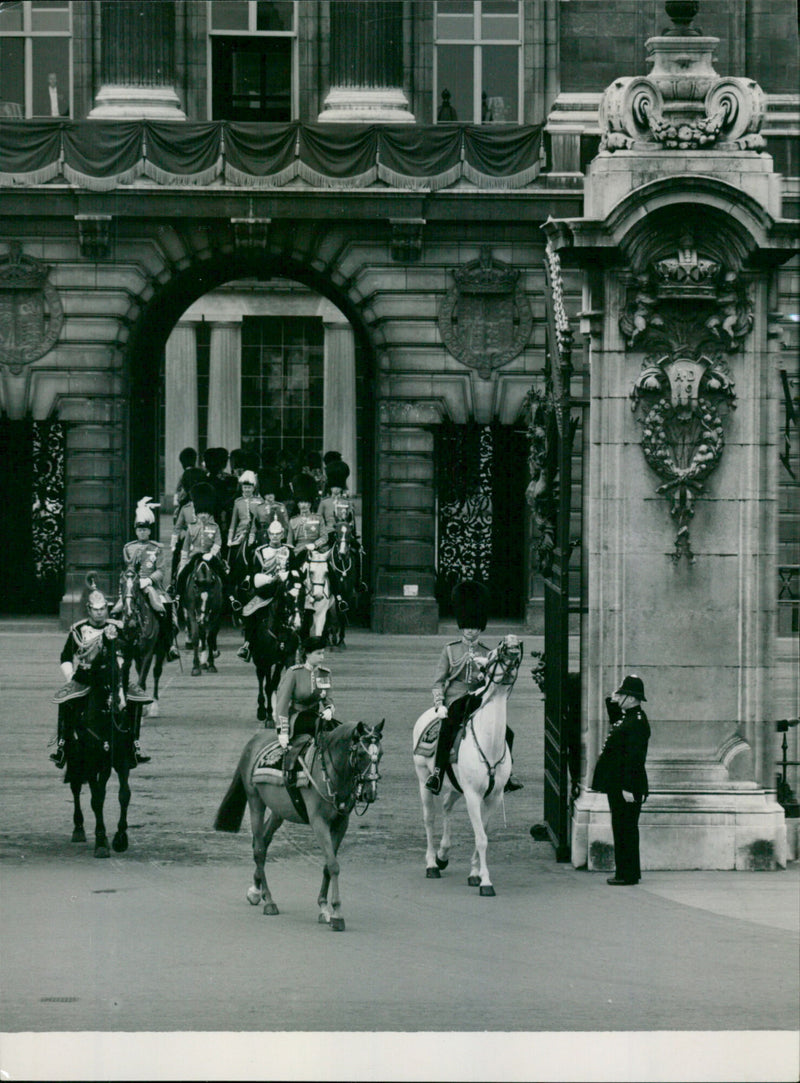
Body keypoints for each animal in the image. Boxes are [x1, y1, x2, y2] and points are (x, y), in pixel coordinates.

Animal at [60, 632, 138, 853]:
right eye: (106, 666)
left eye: (128, 665)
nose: (120, 704)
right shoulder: (91, 761)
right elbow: (97, 799)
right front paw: (102, 841)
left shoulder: (119, 759)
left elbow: (123, 794)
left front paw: (120, 837)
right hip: (75, 759)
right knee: (76, 788)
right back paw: (78, 828)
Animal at [117, 567, 173, 719]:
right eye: (121, 583)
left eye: (137, 584)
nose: (129, 612)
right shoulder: (127, 654)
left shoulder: (148, 653)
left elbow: (141, 682)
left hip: (159, 651)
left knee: (156, 672)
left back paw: (153, 705)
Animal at [215, 719, 385, 931]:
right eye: (361, 754)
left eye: (381, 753)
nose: (370, 792)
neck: (329, 772)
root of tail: (254, 741)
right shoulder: (319, 823)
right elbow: (333, 865)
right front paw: (337, 913)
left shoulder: (340, 824)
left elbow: (327, 865)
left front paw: (324, 907)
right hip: (256, 802)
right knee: (259, 849)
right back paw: (269, 900)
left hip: (279, 811)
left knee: (263, 840)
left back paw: (256, 890)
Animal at [413, 632, 526, 896]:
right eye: (495, 653)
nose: (513, 642)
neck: (489, 741)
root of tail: (428, 714)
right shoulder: (473, 795)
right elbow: (481, 837)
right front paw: (486, 882)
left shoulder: (493, 796)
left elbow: (483, 833)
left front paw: (475, 873)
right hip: (424, 780)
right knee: (429, 818)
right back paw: (432, 864)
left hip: (457, 786)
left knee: (446, 806)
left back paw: (443, 854)